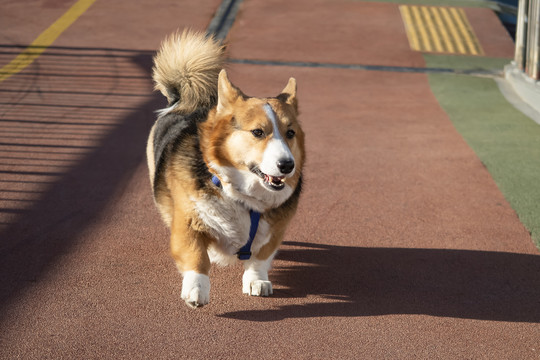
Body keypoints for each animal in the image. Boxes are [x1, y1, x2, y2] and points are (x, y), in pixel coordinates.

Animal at [147, 29, 304, 308]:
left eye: (290, 133)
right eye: (257, 132)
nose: (287, 166)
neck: (242, 195)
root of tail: (186, 101)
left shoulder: (273, 233)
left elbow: (259, 258)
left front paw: (256, 281)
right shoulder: (188, 224)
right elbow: (197, 257)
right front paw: (196, 290)